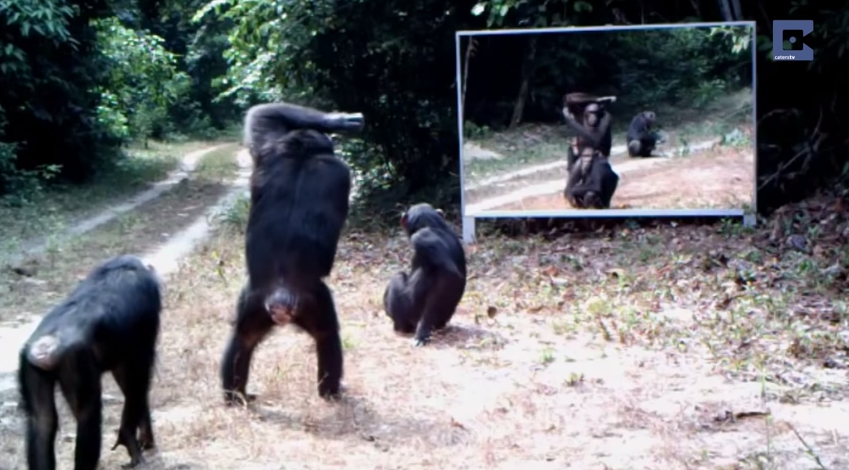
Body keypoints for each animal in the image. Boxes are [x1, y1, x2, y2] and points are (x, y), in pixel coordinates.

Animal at [18, 255, 162, 470]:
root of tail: (46, 345)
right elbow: (138, 377)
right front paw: (134, 440)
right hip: (74, 360)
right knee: (88, 416)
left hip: (31, 364)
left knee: (42, 421)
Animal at [219, 102, 362, 404]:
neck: (302, 154)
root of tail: (280, 295)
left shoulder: (267, 147)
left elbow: (263, 113)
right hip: (298, 301)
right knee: (325, 336)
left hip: (255, 300)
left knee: (243, 338)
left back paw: (236, 396)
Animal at [382, 204, 468, 346]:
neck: (433, 226)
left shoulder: (421, 237)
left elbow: (449, 274)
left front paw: (423, 330)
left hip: (409, 314)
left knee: (397, 277)